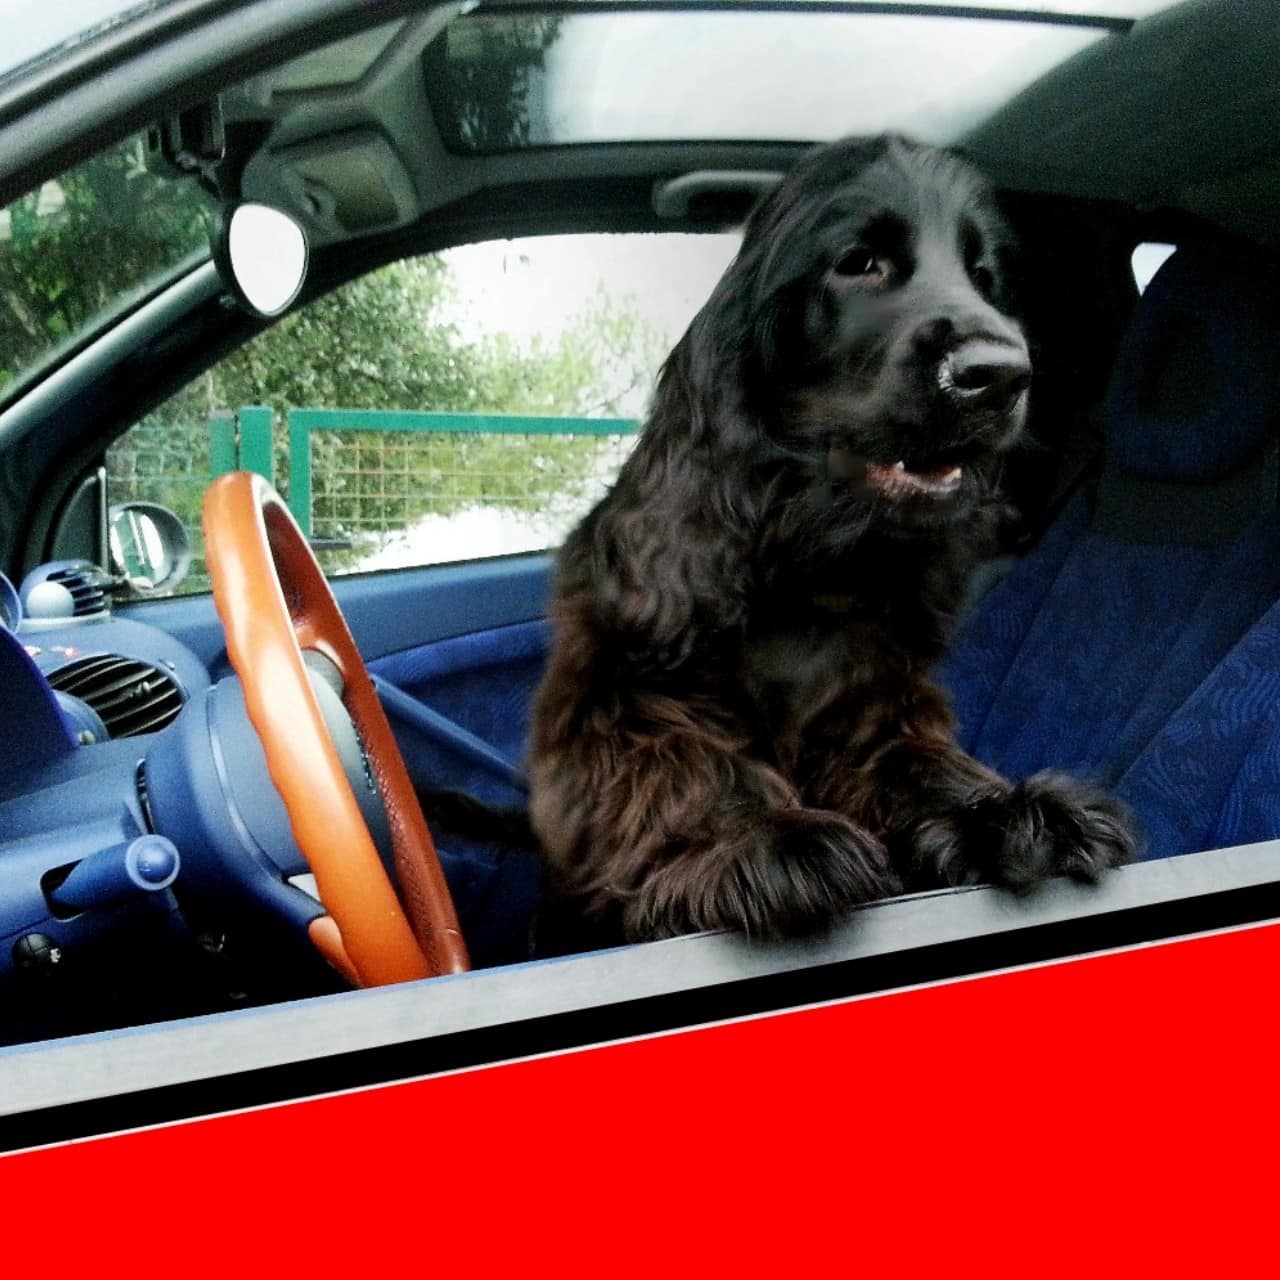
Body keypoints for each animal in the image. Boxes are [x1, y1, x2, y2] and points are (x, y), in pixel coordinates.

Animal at [523, 134, 1138, 943]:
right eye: (858, 261)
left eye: (983, 277)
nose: (1002, 374)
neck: (808, 568)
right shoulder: (611, 706)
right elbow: (686, 763)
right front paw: (761, 838)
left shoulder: (872, 699)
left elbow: (912, 758)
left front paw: (1009, 811)